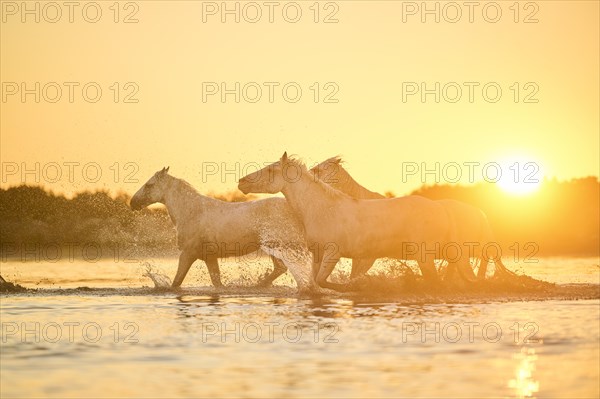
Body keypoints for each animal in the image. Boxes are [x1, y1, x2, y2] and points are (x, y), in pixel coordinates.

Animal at [130, 169, 310, 290]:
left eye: (149, 185)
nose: (133, 203)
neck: (192, 212)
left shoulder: (187, 254)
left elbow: (177, 282)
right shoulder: (210, 258)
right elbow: (217, 283)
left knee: (284, 268)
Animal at [238, 154, 454, 290]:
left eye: (270, 170)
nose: (241, 182)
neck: (322, 209)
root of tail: (440, 209)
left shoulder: (334, 253)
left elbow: (324, 281)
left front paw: (359, 286)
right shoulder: (318, 253)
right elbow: (315, 282)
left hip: (424, 257)